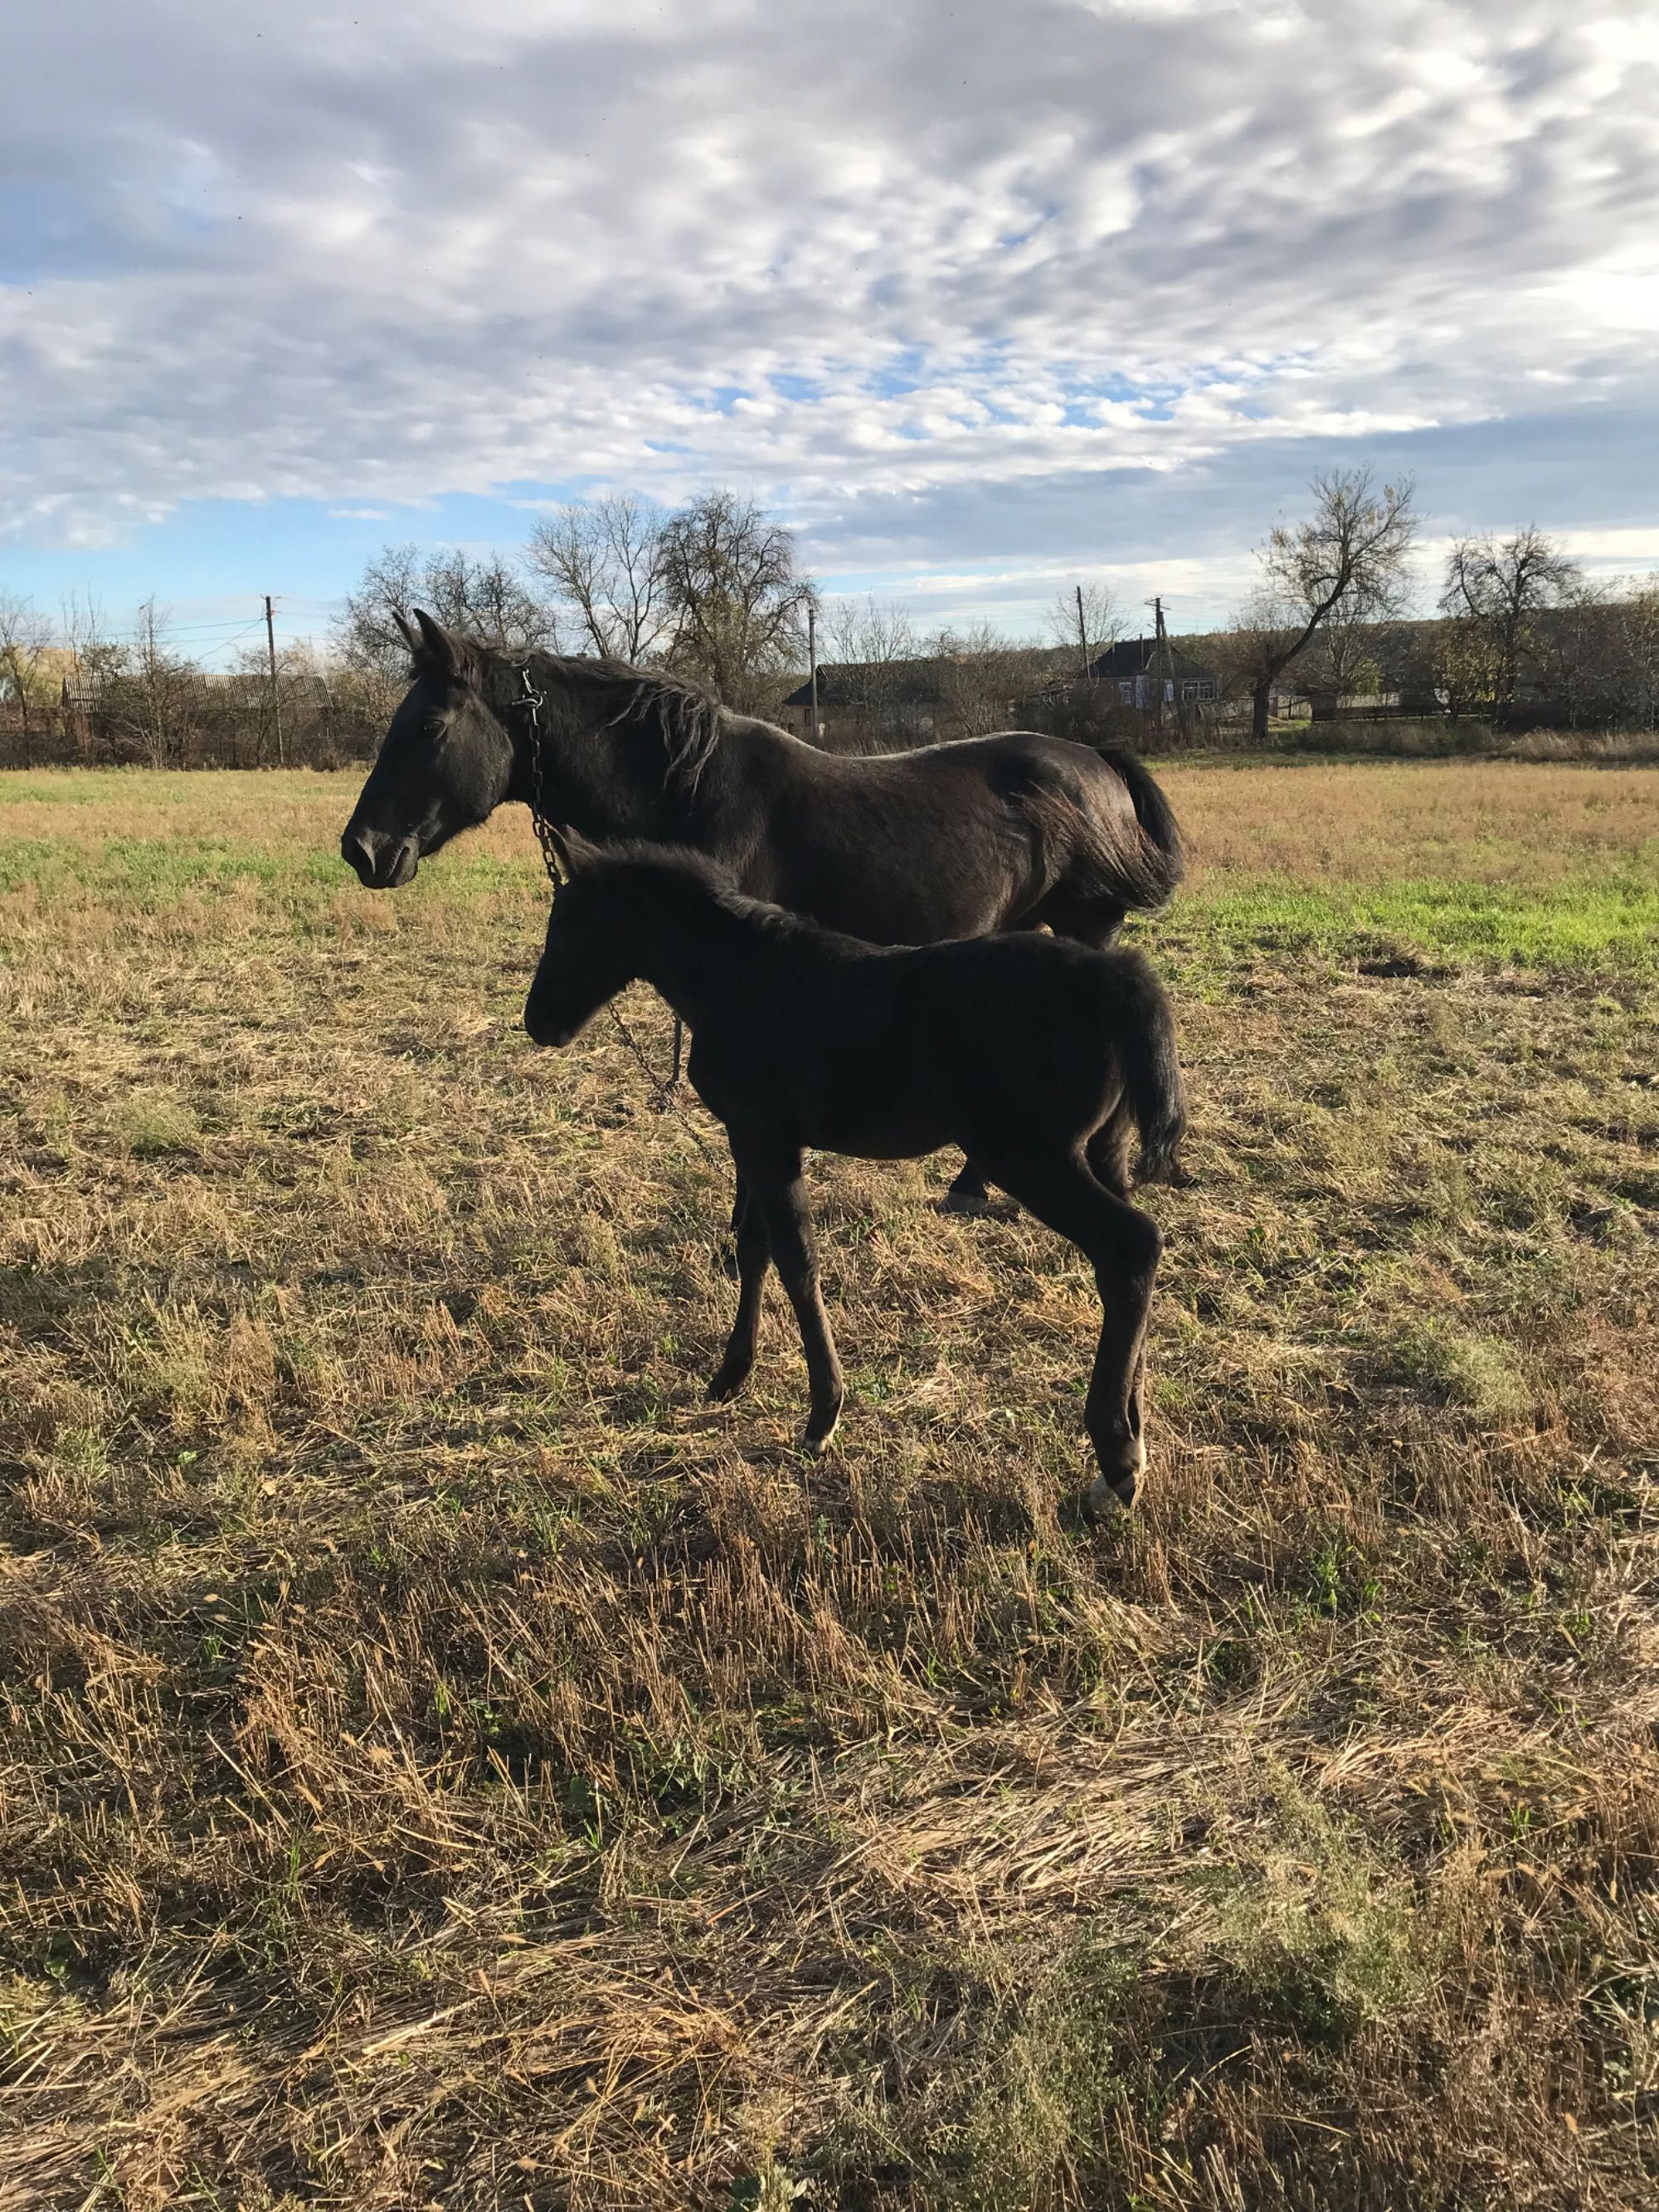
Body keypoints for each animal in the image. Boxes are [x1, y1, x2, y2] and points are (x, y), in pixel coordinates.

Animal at [526, 836, 1185, 1513]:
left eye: (567, 926)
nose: (538, 1021)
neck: (739, 978)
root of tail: (1118, 978)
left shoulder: (765, 1140)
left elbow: (796, 1259)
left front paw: (823, 1415)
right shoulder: (755, 1140)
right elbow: (755, 1248)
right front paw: (732, 1375)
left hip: (1030, 1156)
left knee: (1132, 1244)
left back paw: (1116, 1455)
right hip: (1100, 1152)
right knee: (1126, 1267)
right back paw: (1130, 1439)